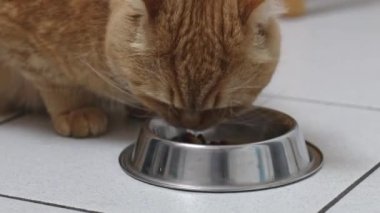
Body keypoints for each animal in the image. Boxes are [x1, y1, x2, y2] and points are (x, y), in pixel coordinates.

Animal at [0, 0, 282, 138]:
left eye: (222, 108)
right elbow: (57, 81)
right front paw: (75, 110)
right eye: (164, 102)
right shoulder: (24, 44)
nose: (190, 126)